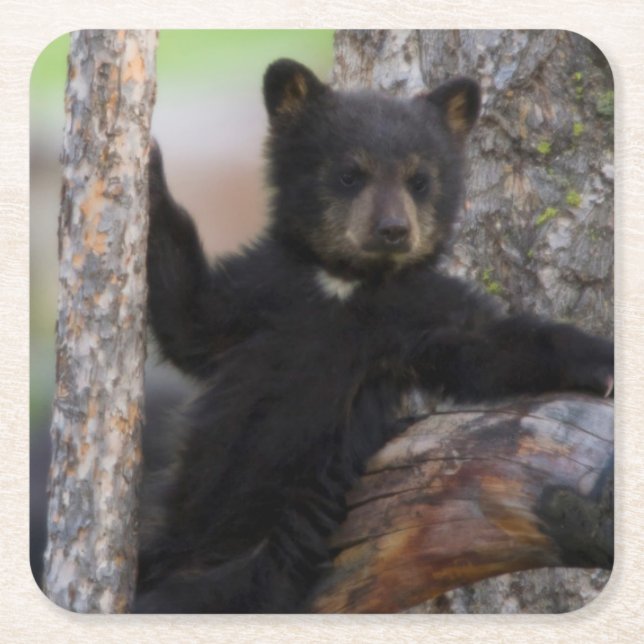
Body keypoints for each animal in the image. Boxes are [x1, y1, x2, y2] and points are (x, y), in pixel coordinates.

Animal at [134, 59, 613, 613]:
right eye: (349, 174)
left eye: (419, 180)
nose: (393, 230)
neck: (347, 283)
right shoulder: (263, 291)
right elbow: (190, 319)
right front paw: (148, 168)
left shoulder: (417, 313)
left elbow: (490, 346)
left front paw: (602, 363)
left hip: (266, 554)